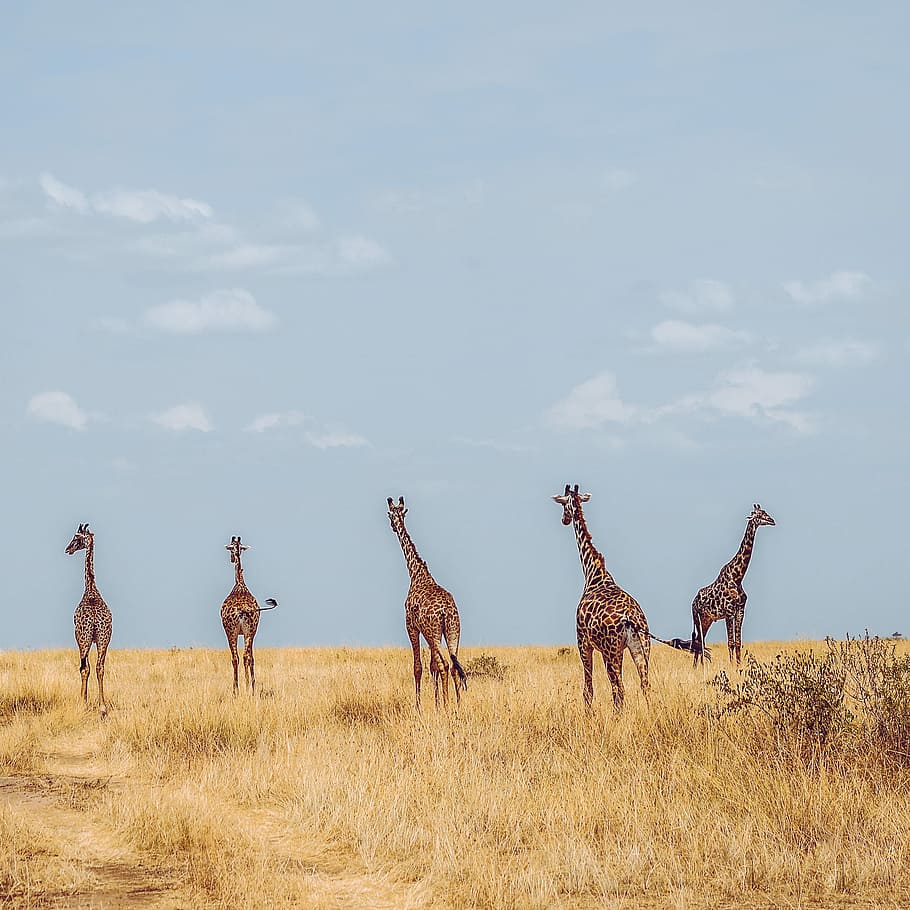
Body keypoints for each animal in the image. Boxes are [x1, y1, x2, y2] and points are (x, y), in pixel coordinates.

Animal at [221, 535, 278, 694]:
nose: (231, 559)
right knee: (246, 657)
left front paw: (242, 688)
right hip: (249, 631)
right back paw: (249, 688)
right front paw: (251, 686)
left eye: (230, 548)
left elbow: (241, 658)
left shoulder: (235, 632)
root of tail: (242, 611)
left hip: (232, 631)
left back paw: (238, 690)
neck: (240, 584)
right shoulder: (251, 632)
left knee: (236, 657)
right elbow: (251, 657)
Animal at [387, 496, 467, 710]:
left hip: (434, 631)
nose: (393, 527)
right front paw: (436, 705)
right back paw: (458, 705)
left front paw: (420, 707)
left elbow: (419, 667)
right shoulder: (428, 633)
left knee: (445, 664)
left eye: (390, 514)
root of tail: (446, 612)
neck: (416, 573)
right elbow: (432, 667)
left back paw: (448, 706)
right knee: (454, 665)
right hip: (453, 630)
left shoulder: (411, 626)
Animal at [552, 485, 652, 710]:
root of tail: (631, 619)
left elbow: (587, 690)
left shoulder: (583, 642)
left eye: (563, 505)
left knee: (619, 689)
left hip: (610, 650)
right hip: (641, 647)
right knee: (645, 685)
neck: (593, 573)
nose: (564, 520)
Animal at [690, 504, 776, 667]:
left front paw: (738, 665)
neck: (737, 577)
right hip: (697, 617)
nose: (772, 521)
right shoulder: (729, 611)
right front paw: (732, 666)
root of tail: (693, 602)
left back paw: (698, 667)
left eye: (765, 512)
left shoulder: (740, 611)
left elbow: (738, 642)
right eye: (758, 515)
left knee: (700, 641)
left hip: (707, 619)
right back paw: (697, 667)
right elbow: (730, 642)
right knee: (698, 642)